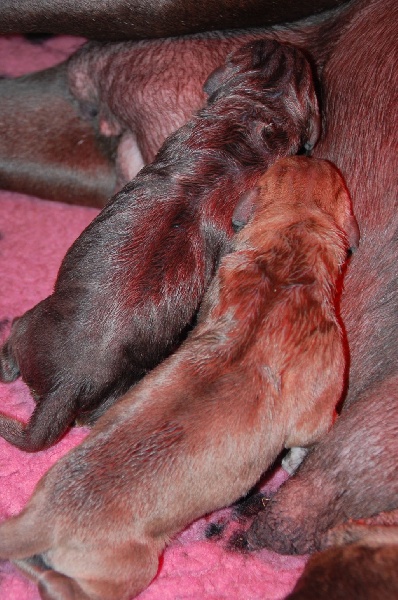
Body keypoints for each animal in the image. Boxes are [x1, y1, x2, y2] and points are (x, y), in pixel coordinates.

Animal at [0, 156, 358, 600]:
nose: (313, 155)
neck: (285, 263)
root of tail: (43, 518)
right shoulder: (318, 405)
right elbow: (314, 430)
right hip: (133, 567)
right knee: (59, 583)